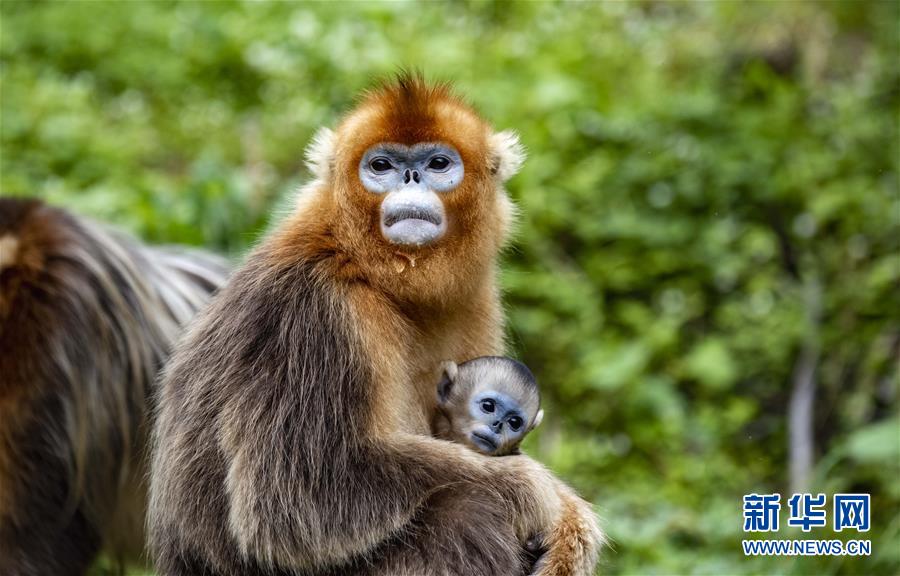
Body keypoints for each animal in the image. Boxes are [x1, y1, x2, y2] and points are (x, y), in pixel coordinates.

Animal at [149, 76, 604, 576]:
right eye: (381, 166)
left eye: (438, 163)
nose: (411, 178)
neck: (363, 265)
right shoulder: (316, 311)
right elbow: (296, 503)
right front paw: (532, 488)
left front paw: (571, 528)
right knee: (468, 510)